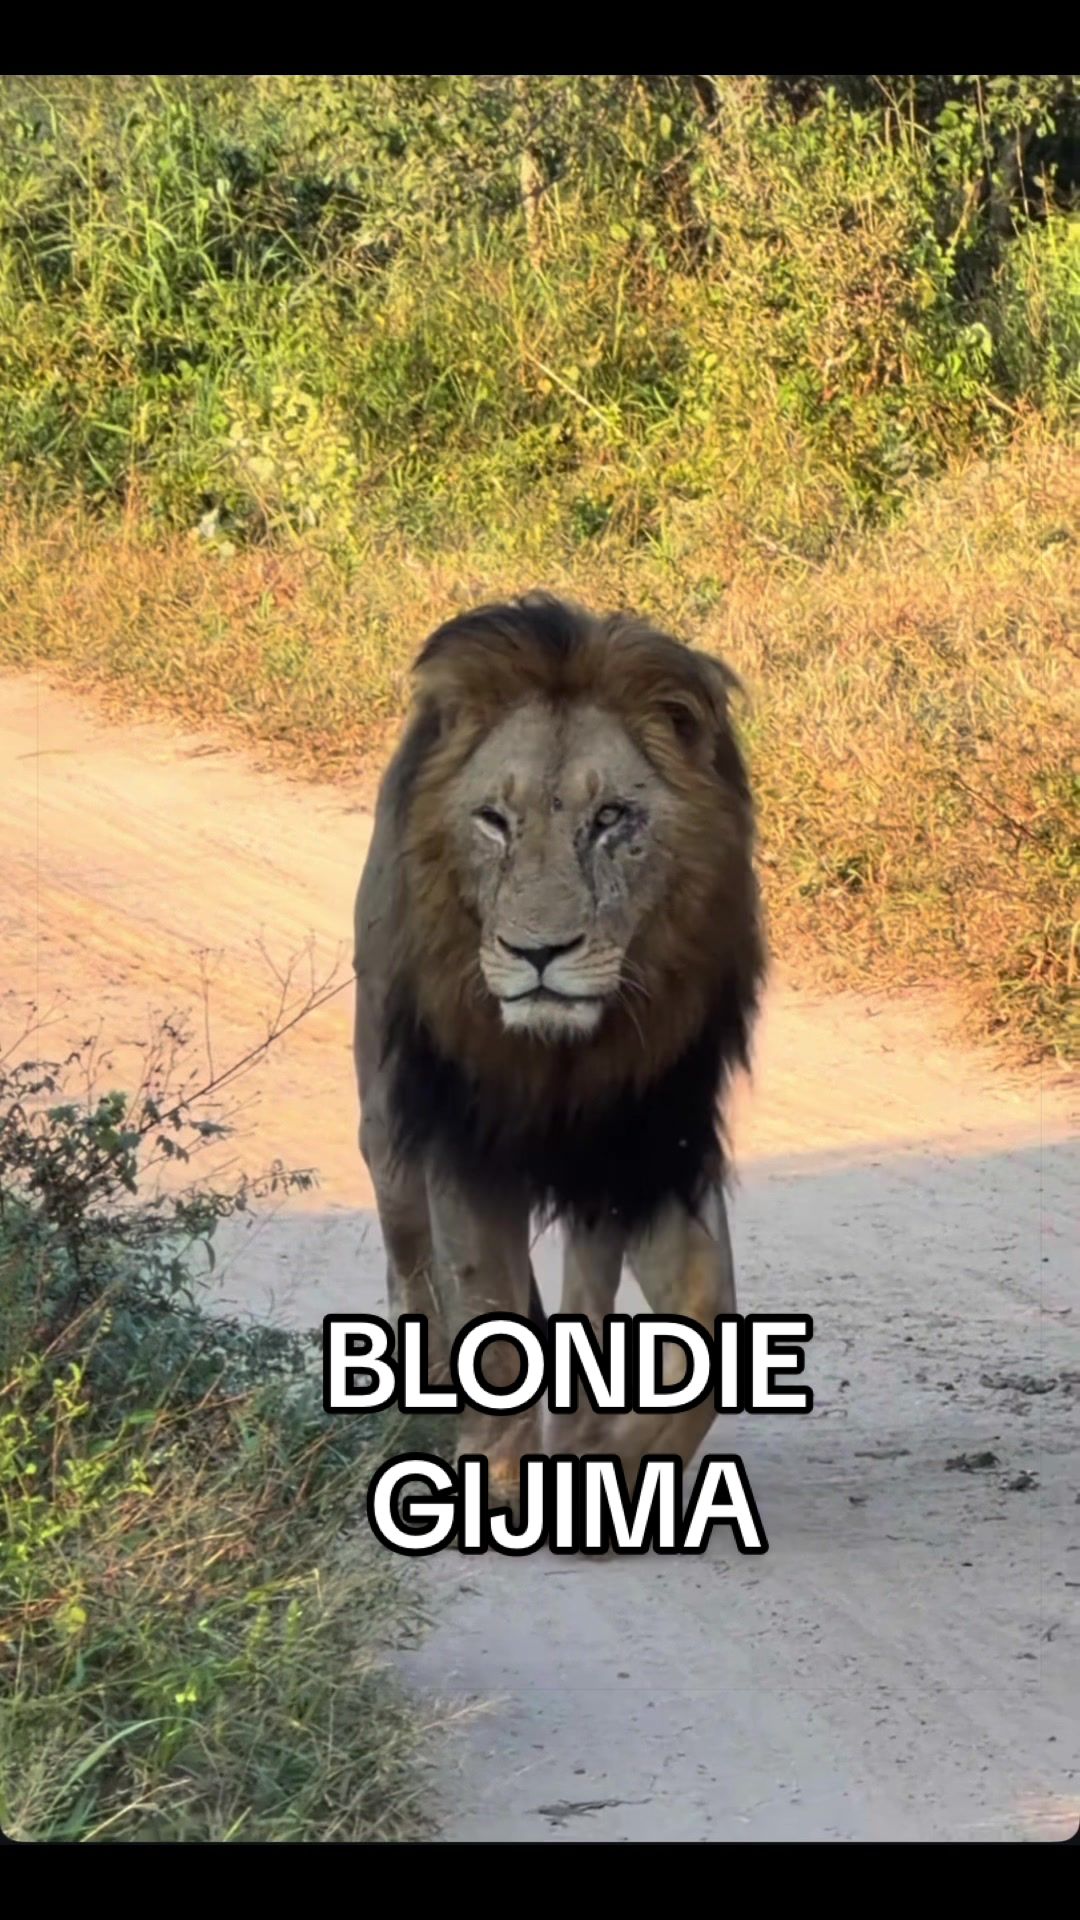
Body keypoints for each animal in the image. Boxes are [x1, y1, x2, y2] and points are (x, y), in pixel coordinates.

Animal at [353, 592, 765, 1502]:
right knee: (410, 1267)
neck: (562, 1060)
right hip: (386, 1125)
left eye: (609, 819)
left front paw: (613, 1461)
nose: (539, 952)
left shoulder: (648, 1147)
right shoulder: (462, 1141)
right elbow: (489, 1320)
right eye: (493, 822)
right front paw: (501, 1483)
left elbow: (704, 1311)